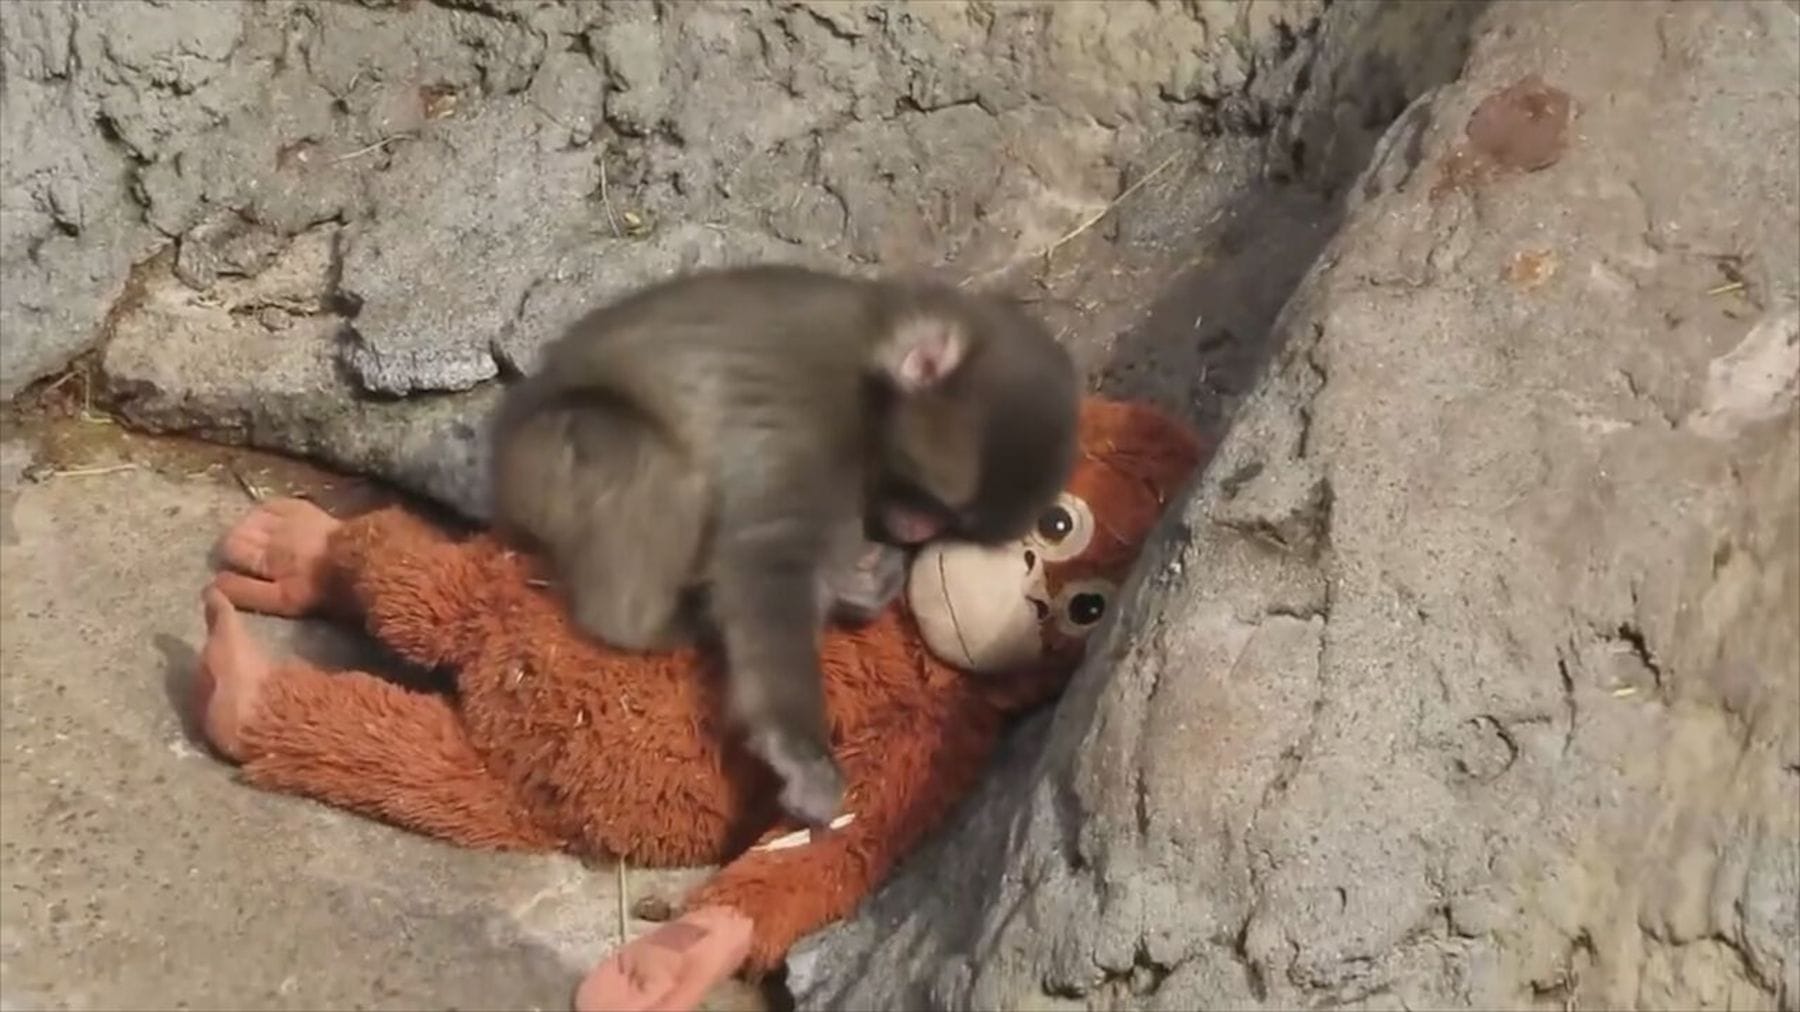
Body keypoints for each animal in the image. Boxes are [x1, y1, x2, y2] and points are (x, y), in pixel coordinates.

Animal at [489, 264, 1079, 827]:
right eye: (933, 502)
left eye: (949, 521)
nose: (915, 531)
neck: (871, 364)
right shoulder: (815, 418)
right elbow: (767, 556)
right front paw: (801, 754)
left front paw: (861, 586)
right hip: (548, 459)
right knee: (652, 464)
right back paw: (653, 623)